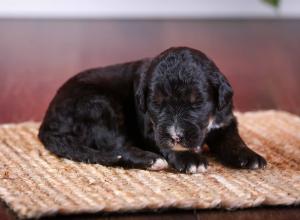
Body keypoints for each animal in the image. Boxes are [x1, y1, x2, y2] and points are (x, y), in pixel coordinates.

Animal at [38, 46, 266, 174]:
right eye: (157, 103)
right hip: (100, 105)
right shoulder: (152, 127)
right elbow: (164, 143)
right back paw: (150, 160)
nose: (176, 135)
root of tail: (46, 124)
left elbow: (234, 140)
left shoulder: (225, 120)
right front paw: (189, 158)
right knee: (116, 147)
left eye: (197, 103)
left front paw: (249, 156)